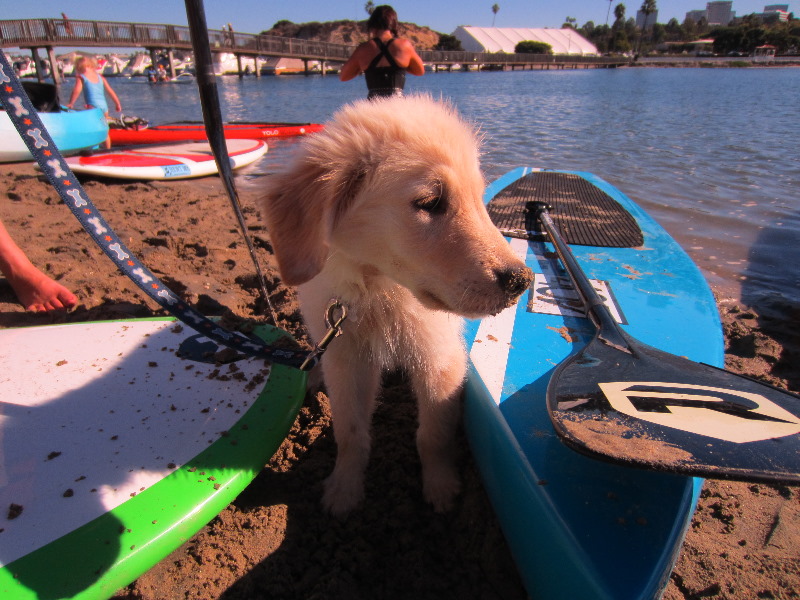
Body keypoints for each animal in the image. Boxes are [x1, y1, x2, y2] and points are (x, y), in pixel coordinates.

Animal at [258, 95, 532, 516]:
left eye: (478, 198)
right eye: (430, 202)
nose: (521, 281)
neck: (379, 288)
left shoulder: (440, 359)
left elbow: (432, 434)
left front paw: (440, 486)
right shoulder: (347, 357)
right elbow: (350, 431)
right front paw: (344, 489)